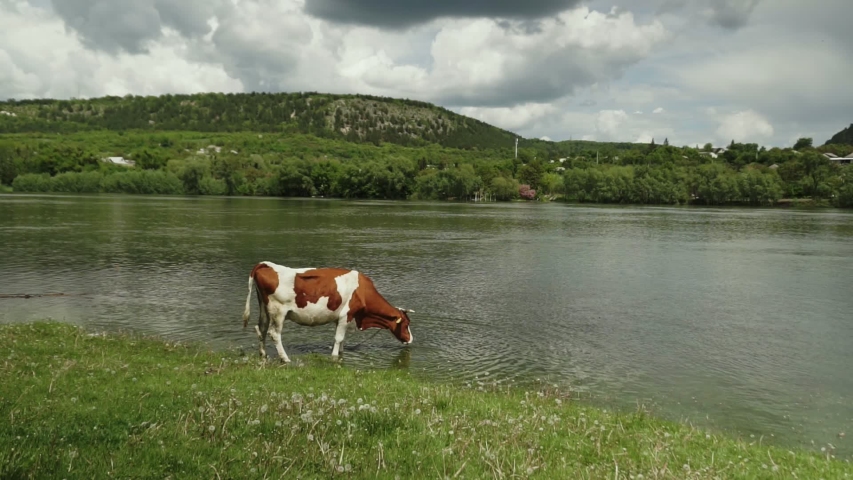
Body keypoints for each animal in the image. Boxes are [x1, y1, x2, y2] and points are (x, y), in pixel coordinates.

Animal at [242, 261, 414, 363]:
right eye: (406, 324)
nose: (411, 339)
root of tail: (266, 264)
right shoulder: (346, 315)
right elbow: (338, 339)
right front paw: (335, 357)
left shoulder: (341, 318)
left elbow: (342, 339)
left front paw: (341, 354)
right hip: (279, 312)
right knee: (274, 334)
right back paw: (285, 359)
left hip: (265, 309)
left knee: (261, 328)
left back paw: (263, 354)